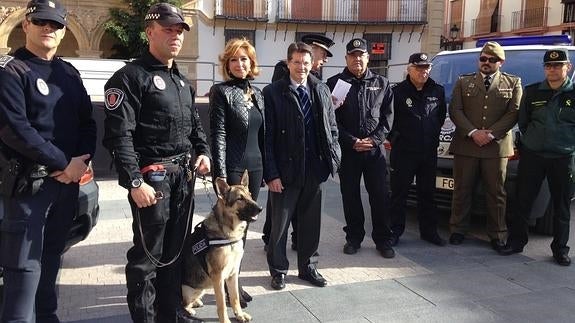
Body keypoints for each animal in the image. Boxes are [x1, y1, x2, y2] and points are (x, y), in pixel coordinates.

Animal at [183, 171, 262, 322]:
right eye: (240, 199)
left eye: (250, 195)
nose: (260, 209)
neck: (228, 233)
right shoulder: (218, 277)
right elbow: (221, 305)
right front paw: (225, 320)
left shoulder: (233, 273)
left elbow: (235, 298)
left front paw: (239, 315)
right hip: (187, 290)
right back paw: (188, 311)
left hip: (200, 289)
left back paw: (195, 303)